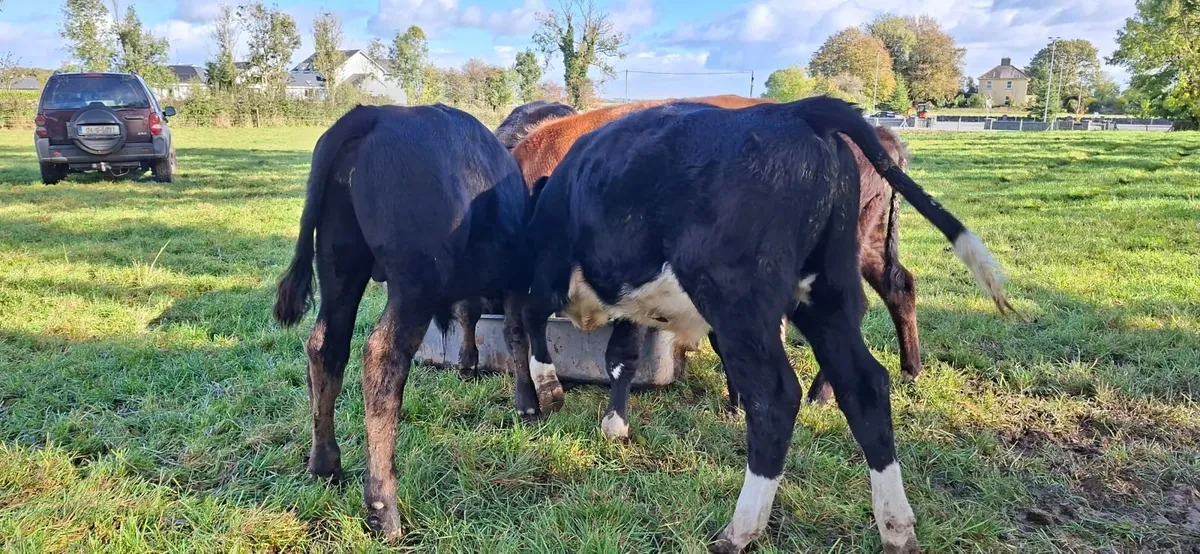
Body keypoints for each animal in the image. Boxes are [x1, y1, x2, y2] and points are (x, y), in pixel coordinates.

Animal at [272, 104, 544, 542]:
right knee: (382, 357)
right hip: (415, 283)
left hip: (339, 266)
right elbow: (515, 334)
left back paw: (325, 464)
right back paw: (384, 509)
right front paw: (528, 403)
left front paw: (468, 365)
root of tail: (374, 115)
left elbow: (469, 316)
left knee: (325, 348)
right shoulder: (517, 278)